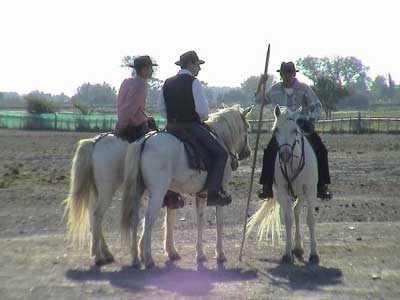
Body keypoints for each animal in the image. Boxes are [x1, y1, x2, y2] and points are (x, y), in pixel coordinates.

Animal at [120, 105, 252, 268]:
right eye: (247, 127)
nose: (247, 153)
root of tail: (145, 140)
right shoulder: (220, 194)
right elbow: (219, 222)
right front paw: (220, 254)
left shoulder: (201, 195)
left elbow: (200, 221)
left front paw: (200, 254)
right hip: (157, 193)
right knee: (149, 219)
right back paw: (149, 258)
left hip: (138, 191)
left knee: (135, 218)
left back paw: (135, 258)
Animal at [247, 106, 318, 264]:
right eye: (276, 129)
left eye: (295, 130)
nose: (285, 155)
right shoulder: (282, 191)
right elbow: (288, 219)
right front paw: (287, 254)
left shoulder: (310, 190)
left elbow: (310, 219)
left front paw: (314, 254)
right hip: (282, 195)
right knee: (292, 213)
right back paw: (296, 248)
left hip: (301, 193)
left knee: (297, 211)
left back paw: (298, 247)